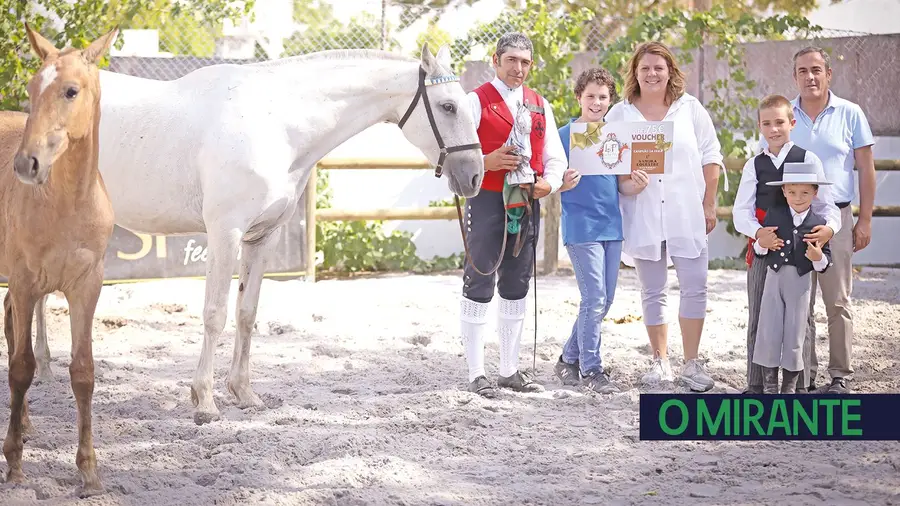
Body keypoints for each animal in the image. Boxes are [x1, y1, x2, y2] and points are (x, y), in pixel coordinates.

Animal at [0, 25, 118, 496]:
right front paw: (14, 465)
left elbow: (82, 371)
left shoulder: (87, 286)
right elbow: (22, 367)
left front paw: (89, 472)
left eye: (71, 90)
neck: (66, 204)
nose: (26, 165)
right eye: (33, 88)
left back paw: (26, 423)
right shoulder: (26, 282)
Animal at [31, 43, 486, 424]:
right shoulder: (225, 233)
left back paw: (44, 367)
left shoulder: (262, 237)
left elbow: (247, 313)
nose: (474, 176)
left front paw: (244, 394)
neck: (274, 124)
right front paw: (205, 402)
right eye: (447, 106)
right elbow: (215, 314)